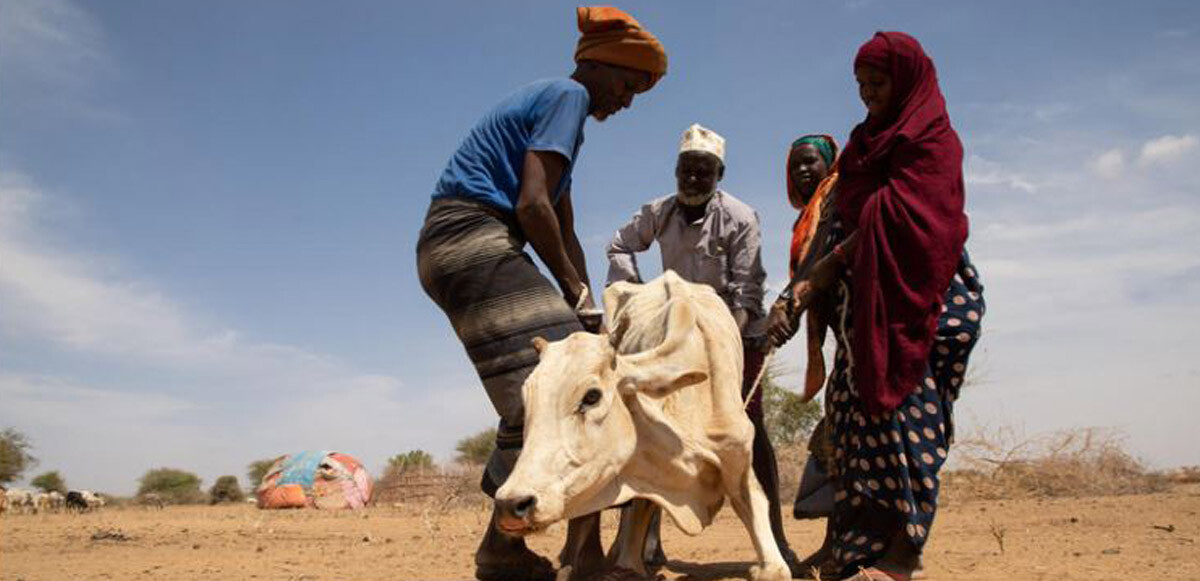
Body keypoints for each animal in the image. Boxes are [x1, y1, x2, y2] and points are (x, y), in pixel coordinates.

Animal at [492, 272, 792, 581]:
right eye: (527, 399)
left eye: (592, 396)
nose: (510, 503)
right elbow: (638, 513)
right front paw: (627, 560)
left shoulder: (737, 453)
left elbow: (768, 546)